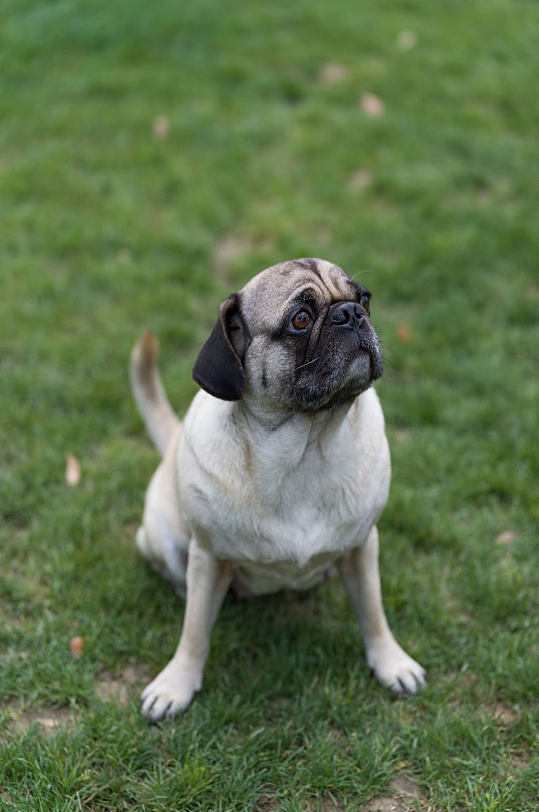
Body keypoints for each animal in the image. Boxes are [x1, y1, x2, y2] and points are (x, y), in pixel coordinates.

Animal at [131, 256, 426, 720]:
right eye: (300, 319)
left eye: (364, 299)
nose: (351, 314)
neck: (306, 447)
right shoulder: (209, 557)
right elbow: (194, 631)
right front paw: (176, 683)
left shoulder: (363, 547)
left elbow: (374, 612)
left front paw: (391, 662)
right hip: (164, 539)